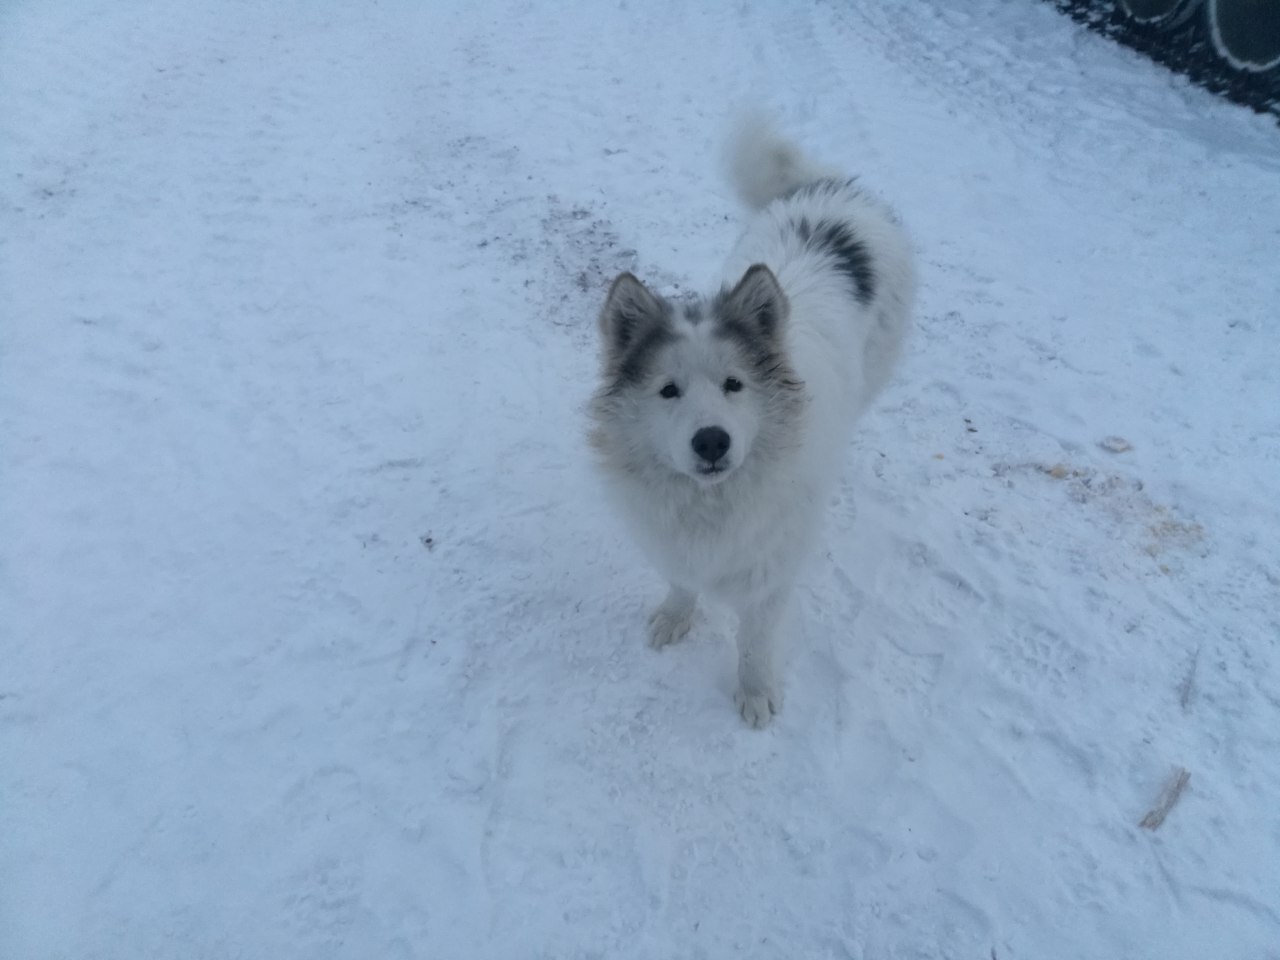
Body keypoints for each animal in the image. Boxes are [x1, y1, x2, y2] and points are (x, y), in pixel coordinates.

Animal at [586, 114, 916, 727]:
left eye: (735, 385)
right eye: (668, 390)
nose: (712, 441)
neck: (713, 501)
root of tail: (833, 188)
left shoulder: (770, 573)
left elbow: (755, 642)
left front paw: (756, 691)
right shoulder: (674, 543)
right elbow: (681, 583)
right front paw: (676, 616)